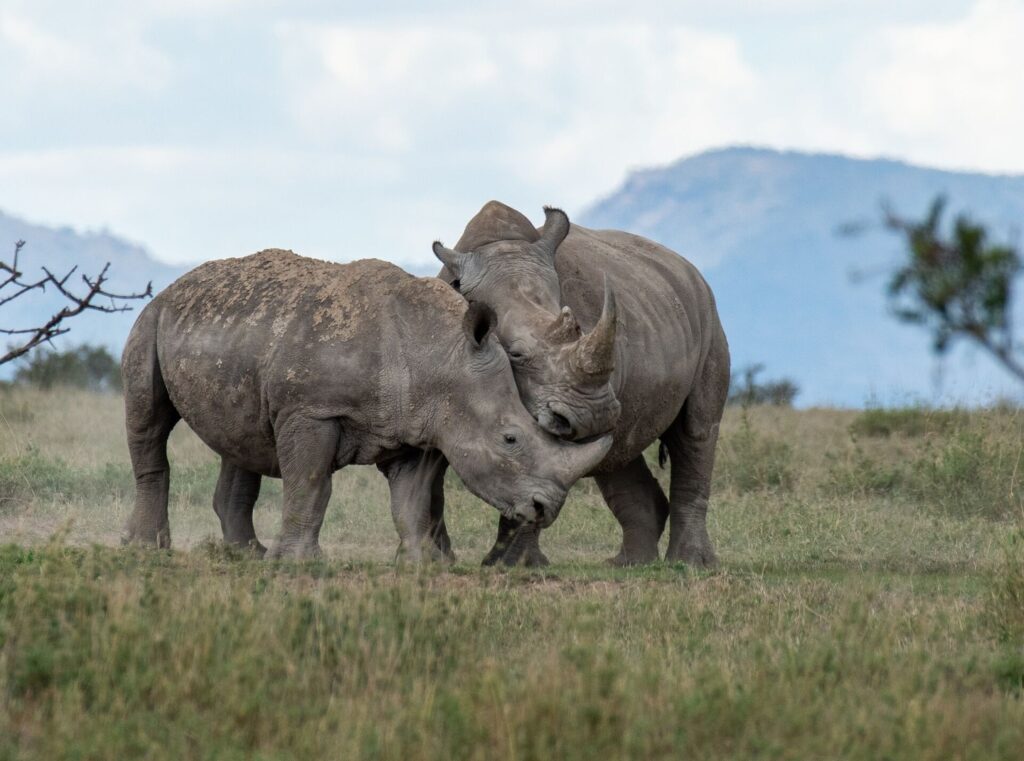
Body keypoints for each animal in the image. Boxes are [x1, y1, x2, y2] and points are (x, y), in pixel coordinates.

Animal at [120, 250, 611, 560]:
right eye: (510, 439)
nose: (545, 510)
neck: (440, 355)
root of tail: (176, 286)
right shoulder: (311, 410)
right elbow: (311, 484)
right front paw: (298, 563)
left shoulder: (413, 424)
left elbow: (411, 501)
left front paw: (420, 564)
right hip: (151, 319)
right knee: (150, 422)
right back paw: (147, 549)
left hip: (229, 333)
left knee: (242, 437)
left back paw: (247, 554)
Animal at [431, 202, 730, 567]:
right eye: (515, 353)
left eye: (578, 330)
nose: (596, 413)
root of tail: (690, 269)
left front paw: (515, 566)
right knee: (620, 450)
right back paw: (630, 565)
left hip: (709, 316)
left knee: (695, 429)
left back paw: (689, 565)